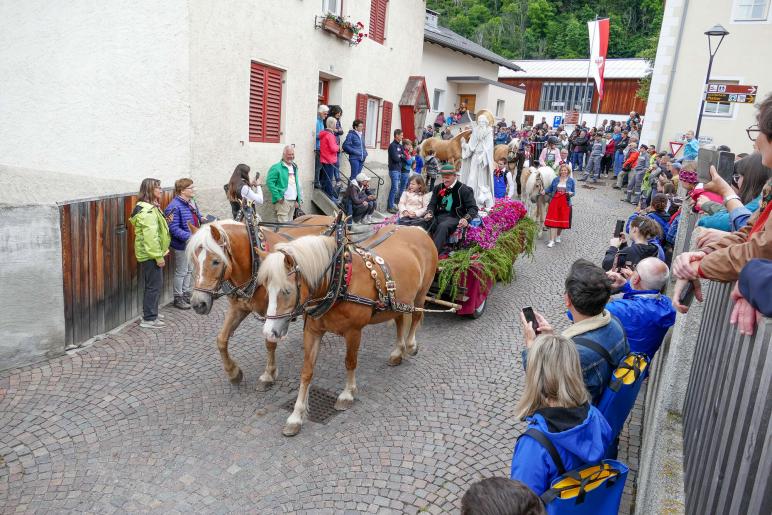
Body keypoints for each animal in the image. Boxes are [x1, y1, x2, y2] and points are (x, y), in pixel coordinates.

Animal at [187, 216, 334, 390]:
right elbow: (221, 339)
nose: (198, 304)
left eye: (216, 261)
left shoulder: (271, 313)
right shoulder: (238, 307)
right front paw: (233, 373)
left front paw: (268, 374)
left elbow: (269, 342)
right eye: (194, 260)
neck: (254, 266)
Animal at [258, 222, 438, 436]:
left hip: (421, 294)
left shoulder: (354, 332)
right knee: (400, 320)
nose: (269, 333)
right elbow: (307, 371)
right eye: (265, 288)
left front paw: (347, 394)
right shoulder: (312, 331)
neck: (339, 280)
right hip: (400, 299)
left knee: (416, 316)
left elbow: (350, 362)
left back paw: (410, 346)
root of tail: (418, 229)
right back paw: (397, 352)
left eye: (287, 291)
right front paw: (296, 416)